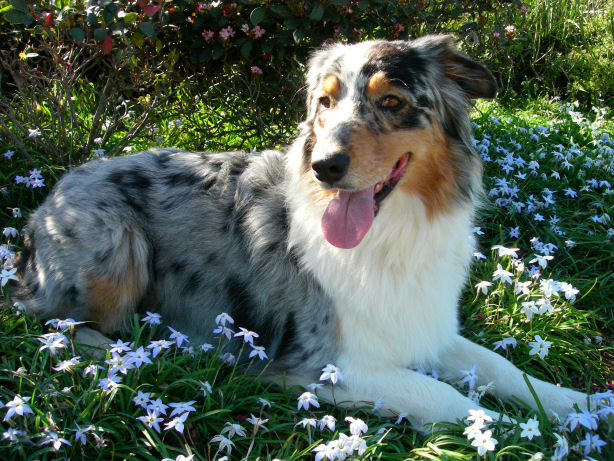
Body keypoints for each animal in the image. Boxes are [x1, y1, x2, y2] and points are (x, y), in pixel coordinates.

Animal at [15, 35, 588, 428]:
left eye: (393, 102)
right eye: (325, 102)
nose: (325, 167)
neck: (391, 234)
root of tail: (47, 199)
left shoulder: (427, 326)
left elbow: (503, 368)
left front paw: (578, 406)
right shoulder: (325, 364)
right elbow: (450, 398)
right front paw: (518, 433)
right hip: (115, 246)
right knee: (45, 319)